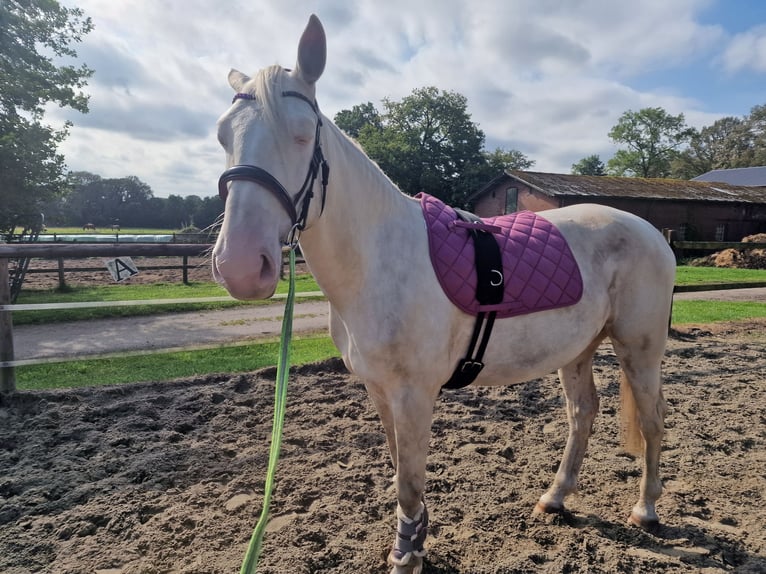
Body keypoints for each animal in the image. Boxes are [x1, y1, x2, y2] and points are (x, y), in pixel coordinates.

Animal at [212, 13, 680, 574]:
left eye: (303, 135)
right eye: (223, 136)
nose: (240, 266)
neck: (378, 259)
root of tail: (652, 232)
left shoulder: (415, 395)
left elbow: (409, 485)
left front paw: (406, 556)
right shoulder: (381, 392)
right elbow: (400, 473)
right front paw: (414, 543)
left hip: (639, 348)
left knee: (652, 421)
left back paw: (646, 509)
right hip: (578, 348)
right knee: (583, 413)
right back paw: (555, 497)